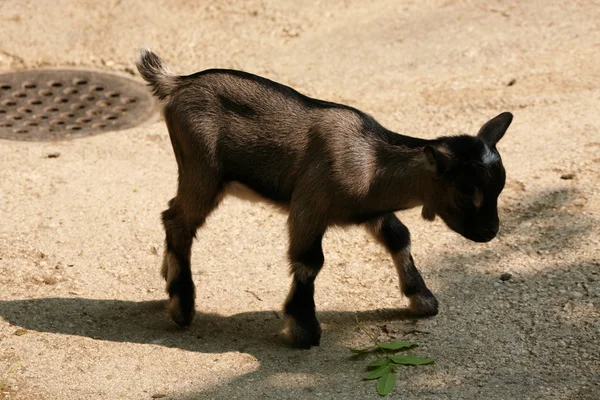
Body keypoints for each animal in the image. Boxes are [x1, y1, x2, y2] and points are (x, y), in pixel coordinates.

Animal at [136, 48, 510, 348]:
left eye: (499, 188)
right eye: (466, 194)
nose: (490, 232)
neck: (371, 162)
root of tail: (176, 82)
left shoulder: (372, 209)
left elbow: (399, 237)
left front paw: (422, 298)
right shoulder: (308, 206)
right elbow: (309, 261)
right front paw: (303, 329)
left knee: (170, 214)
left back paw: (168, 278)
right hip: (202, 170)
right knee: (179, 221)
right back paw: (182, 305)